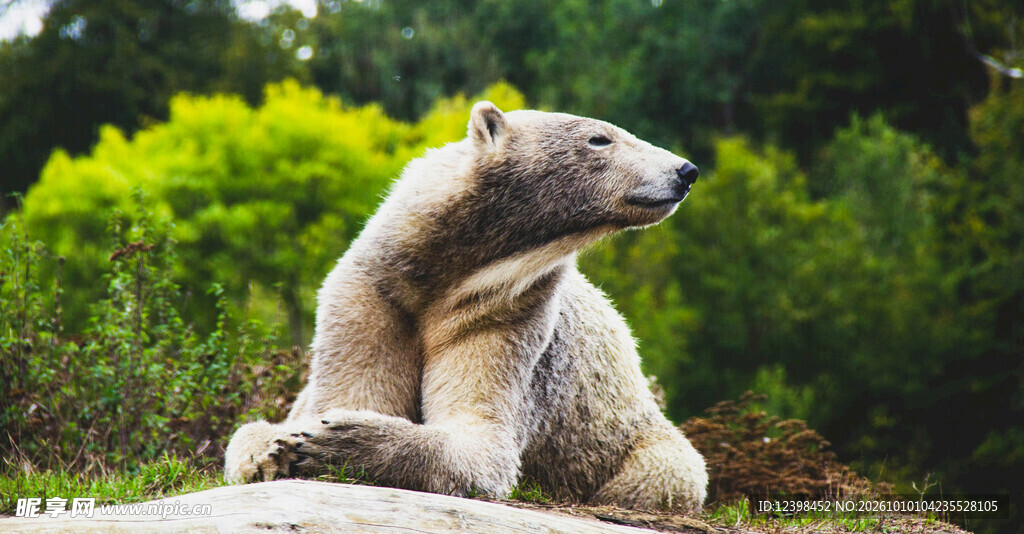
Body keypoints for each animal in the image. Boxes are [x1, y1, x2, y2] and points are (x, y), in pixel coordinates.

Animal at [224, 101, 708, 512]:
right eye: (600, 138)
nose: (686, 170)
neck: (445, 268)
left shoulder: (506, 313)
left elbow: (478, 438)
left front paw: (335, 438)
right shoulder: (372, 297)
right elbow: (355, 389)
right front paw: (283, 448)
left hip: (641, 440)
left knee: (669, 471)